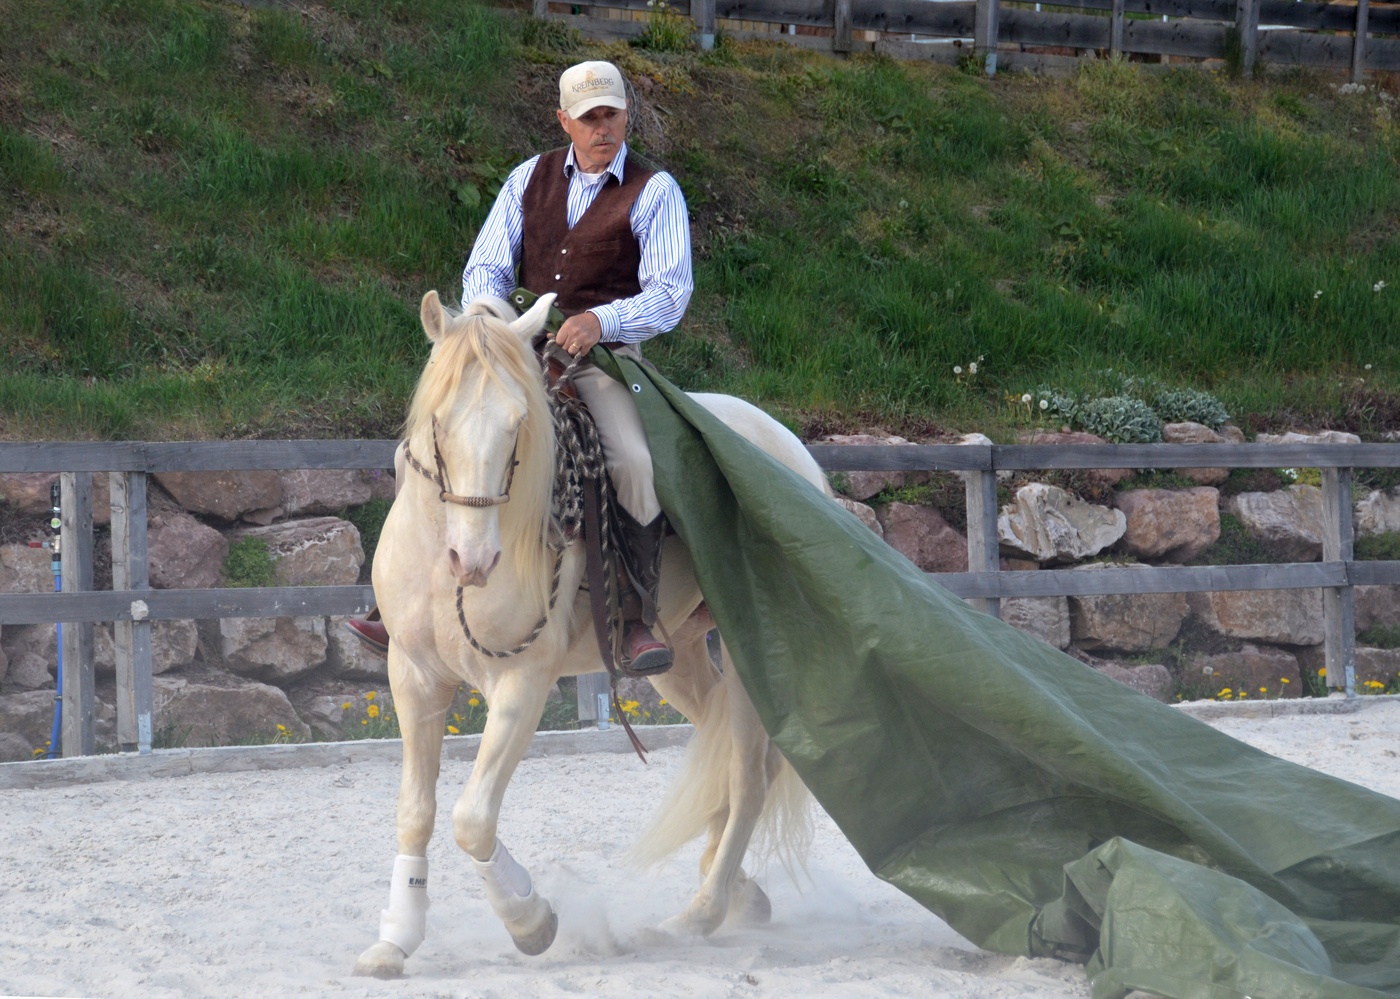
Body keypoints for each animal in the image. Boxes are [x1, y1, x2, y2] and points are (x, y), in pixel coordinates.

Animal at [352, 290, 831, 978]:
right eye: (438, 420)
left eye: (516, 425)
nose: (473, 560)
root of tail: (791, 450)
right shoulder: (413, 679)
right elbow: (415, 813)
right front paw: (396, 938)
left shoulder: (521, 684)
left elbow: (473, 819)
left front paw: (530, 921)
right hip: (682, 658)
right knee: (727, 753)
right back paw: (734, 887)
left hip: (749, 657)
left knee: (747, 776)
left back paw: (698, 915)